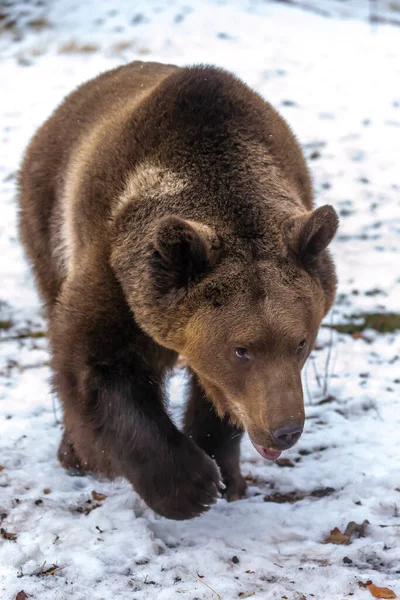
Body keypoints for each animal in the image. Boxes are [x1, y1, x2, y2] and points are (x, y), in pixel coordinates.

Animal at [18, 62, 338, 520]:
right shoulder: (117, 267)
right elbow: (95, 364)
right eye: (241, 349)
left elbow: (217, 398)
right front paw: (192, 485)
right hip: (47, 221)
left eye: (300, 342)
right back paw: (74, 454)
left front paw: (226, 475)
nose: (285, 430)